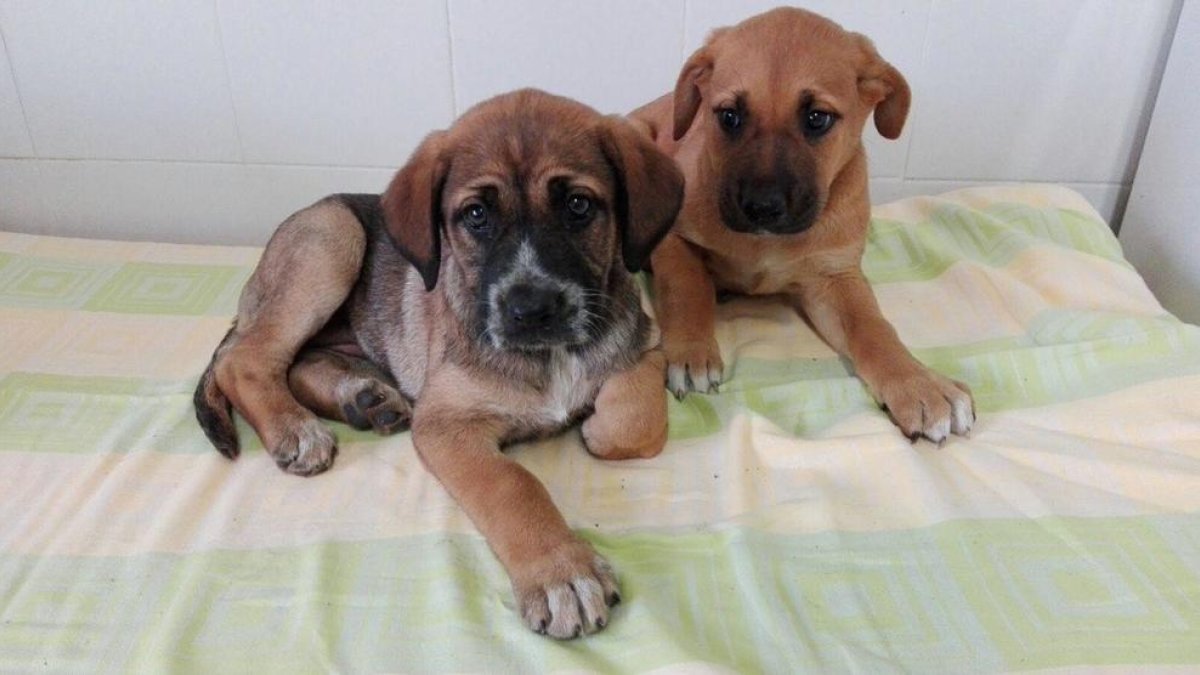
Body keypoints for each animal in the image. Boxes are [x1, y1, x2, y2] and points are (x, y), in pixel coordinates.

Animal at [195, 90, 686, 634]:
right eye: (475, 215)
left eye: (578, 205)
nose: (532, 310)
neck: (549, 357)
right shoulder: (446, 423)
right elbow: (512, 485)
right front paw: (562, 572)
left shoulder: (647, 345)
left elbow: (632, 420)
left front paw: (596, 424)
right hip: (332, 238)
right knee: (245, 359)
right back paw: (296, 429)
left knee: (296, 363)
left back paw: (364, 398)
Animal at [633, 7, 969, 444]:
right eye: (729, 116)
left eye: (817, 118)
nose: (761, 207)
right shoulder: (675, 239)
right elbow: (687, 289)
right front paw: (691, 352)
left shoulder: (836, 276)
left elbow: (874, 329)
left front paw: (918, 384)